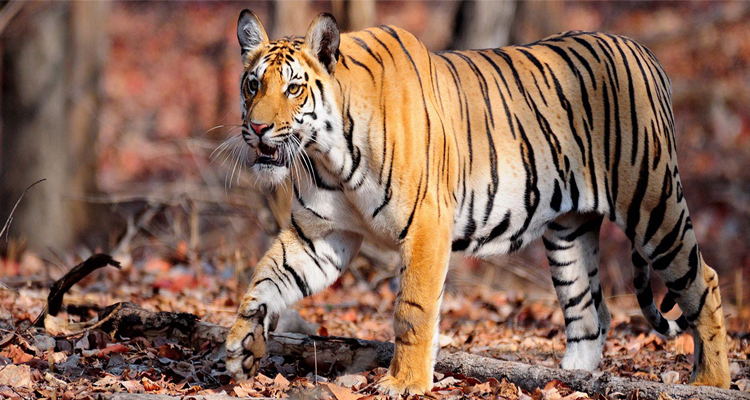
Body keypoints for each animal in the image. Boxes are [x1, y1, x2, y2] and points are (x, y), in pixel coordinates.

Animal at [224, 10, 731, 395]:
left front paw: (404, 383)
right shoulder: (322, 235)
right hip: (568, 232)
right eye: (252, 85)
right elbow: (266, 279)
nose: (258, 128)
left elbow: (412, 311)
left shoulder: (427, 225)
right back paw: (567, 379)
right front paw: (241, 348)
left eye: (293, 88)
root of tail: (646, 53)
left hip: (652, 202)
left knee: (703, 280)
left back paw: (711, 382)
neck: (328, 153)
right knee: (589, 312)